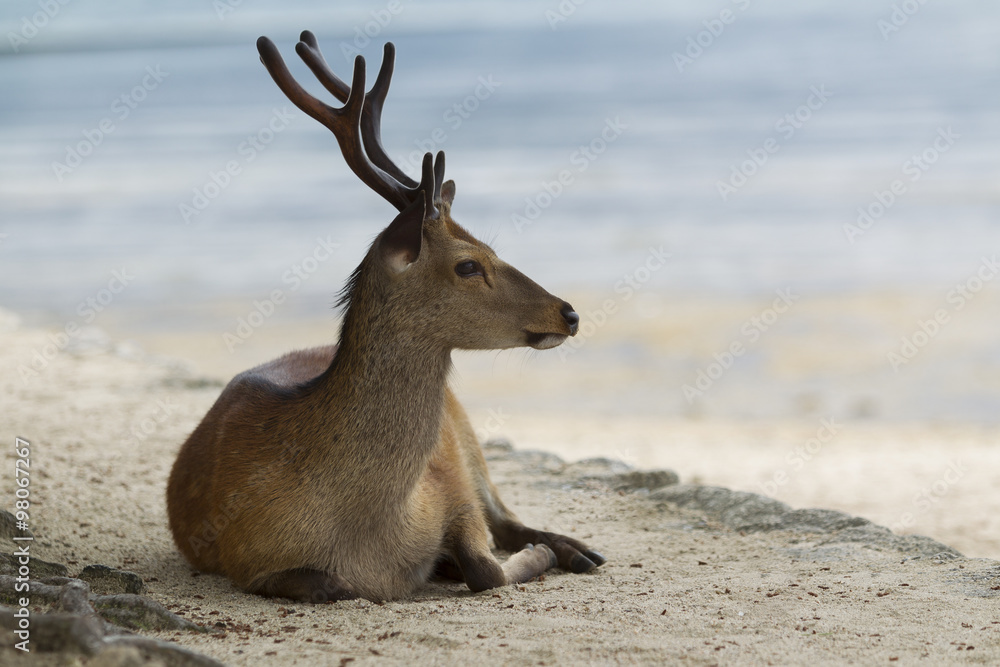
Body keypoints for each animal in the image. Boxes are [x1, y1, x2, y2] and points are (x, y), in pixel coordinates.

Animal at [166, 31, 605, 603]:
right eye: (469, 264)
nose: (568, 313)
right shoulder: (247, 560)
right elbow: (331, 585)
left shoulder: (452, 486)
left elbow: (484, 563)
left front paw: (530, 556)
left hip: (468, 435)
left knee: (509, 518)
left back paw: (580, 551)